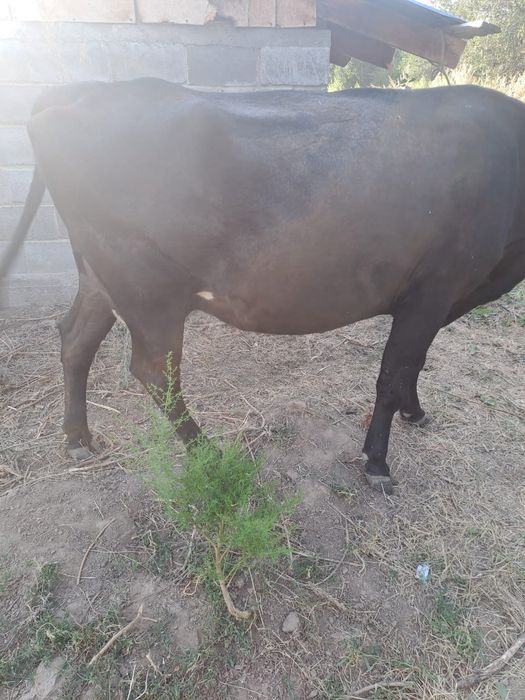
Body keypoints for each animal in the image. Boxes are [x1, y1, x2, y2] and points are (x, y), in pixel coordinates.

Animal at [1, 78, 524, 494]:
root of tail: (80, 90)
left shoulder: (438, 298)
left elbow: (411, 369)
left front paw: (414, 413)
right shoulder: (433, 287)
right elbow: (394, 375)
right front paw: (377, 462)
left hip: (99, 278)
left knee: (76, 340)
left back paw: (77, 438)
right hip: (147, 292)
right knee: (153, 372)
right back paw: (207, 453)